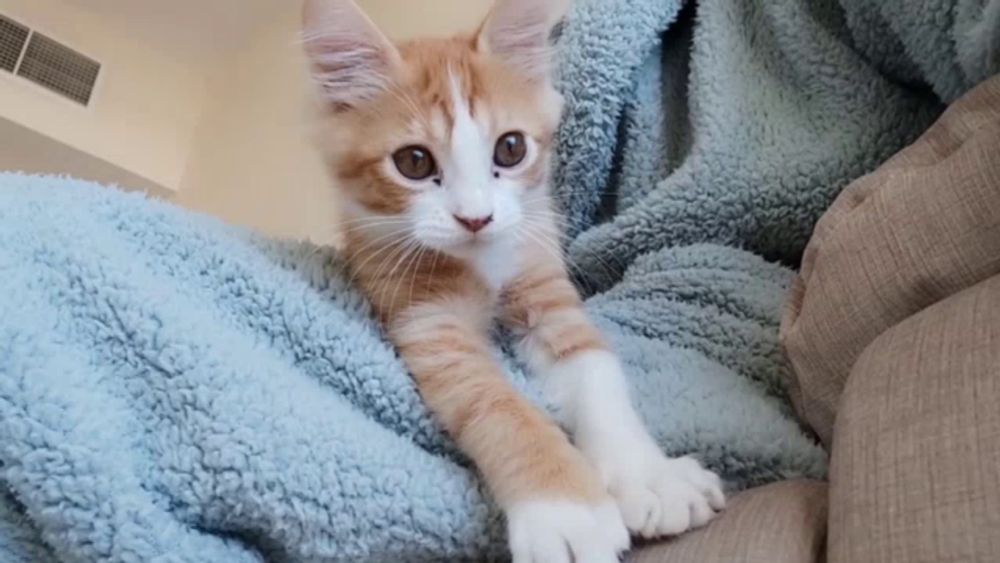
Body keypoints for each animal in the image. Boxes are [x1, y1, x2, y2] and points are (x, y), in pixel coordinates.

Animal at [300, 2, 724, 560]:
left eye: (510, 149)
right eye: (414, 161)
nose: (475, 218)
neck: (483, 263)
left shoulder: (545, 283)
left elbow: (599, 376)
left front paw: (650, 477)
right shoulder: (428, 321)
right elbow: (498, 405)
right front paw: (567, 512)